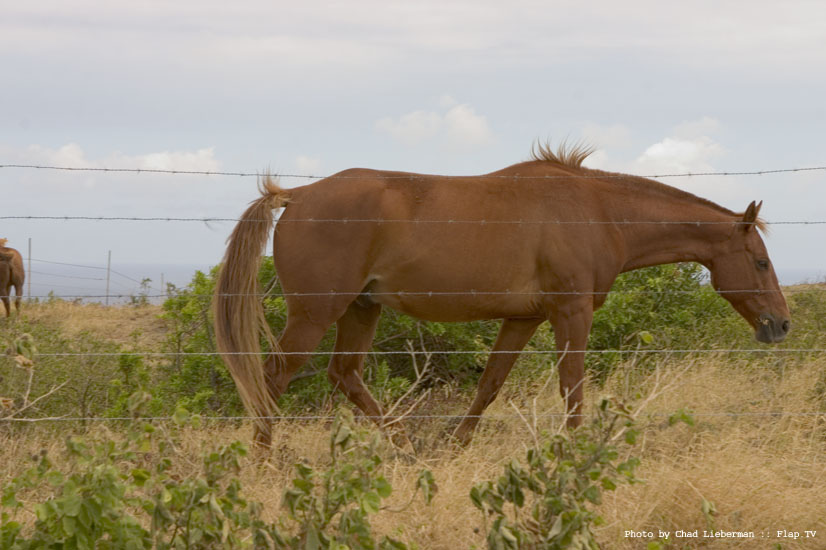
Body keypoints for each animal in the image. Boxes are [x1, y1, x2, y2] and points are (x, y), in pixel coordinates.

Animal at [211, 144, 784, 450]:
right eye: (760, 261)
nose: (781, 324)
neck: (597, 212)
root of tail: (296, 196)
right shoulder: (571, 312)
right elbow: (573, 385)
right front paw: (573, 452)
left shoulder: (524, 318)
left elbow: (489, 384)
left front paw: (456, 446)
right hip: (316, 312)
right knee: (272, 378)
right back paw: (265, 463)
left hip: (361, 308)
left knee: (345, 376)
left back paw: (407, 447)